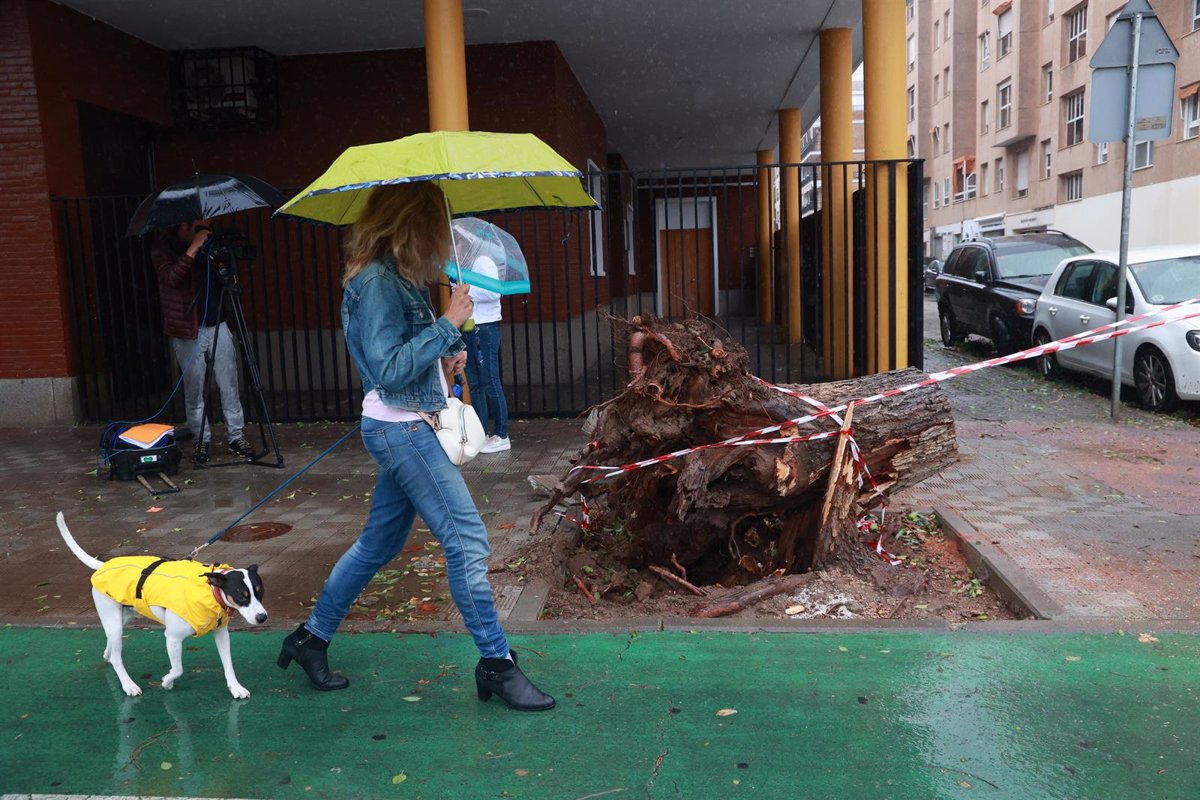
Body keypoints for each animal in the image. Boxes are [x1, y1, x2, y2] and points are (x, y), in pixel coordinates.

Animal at [55, 515, 267, 695]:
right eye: (241, 596)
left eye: (259, 591)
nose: (262, 617)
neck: (211, 592)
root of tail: (104, 565)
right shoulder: (172, 638)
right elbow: (178, 669)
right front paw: (167, 681)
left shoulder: (221, 633)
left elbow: (228, 664)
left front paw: (236, 688)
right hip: (113, 619)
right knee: (117, 657)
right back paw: (128, 685)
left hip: (122, 617)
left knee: (110, 641)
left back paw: (108, 654)